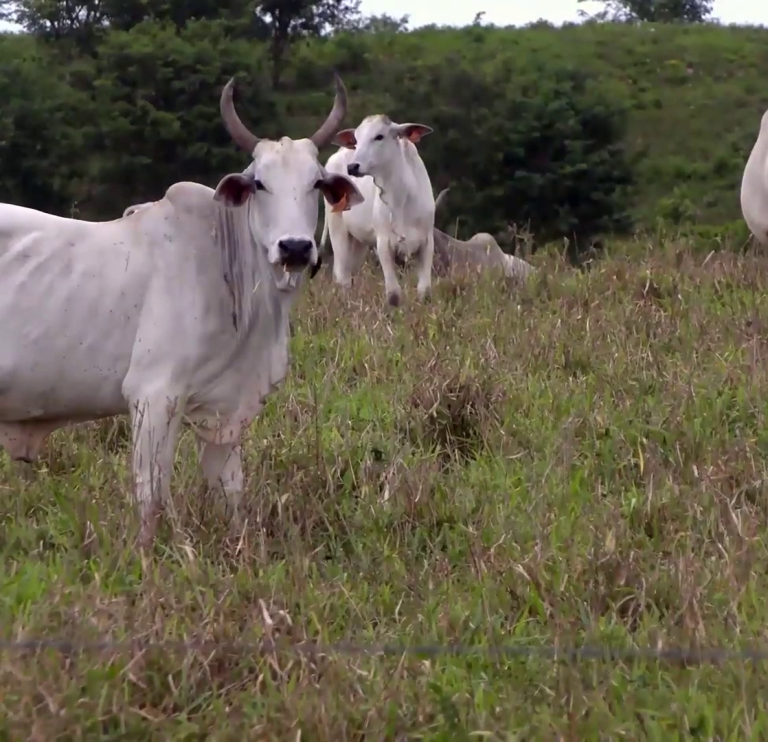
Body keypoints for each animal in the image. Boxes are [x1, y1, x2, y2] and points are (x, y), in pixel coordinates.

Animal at [0, 74, 364, 547]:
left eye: (317, 183)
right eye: (259, 184)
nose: (296, 248)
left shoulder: (225, 412)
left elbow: (231, 493)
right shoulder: (153, 396)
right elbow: (151, 494)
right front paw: (145, 555)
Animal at [321, 115, 437, 307]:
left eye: (379, 136)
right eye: (356, 140)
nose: (352, 166)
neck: (401, 197)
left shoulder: (427, 241)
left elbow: (425, 291)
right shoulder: (383, 242)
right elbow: (394, 294)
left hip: (358, 241)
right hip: (338, 230)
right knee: (342, 276)